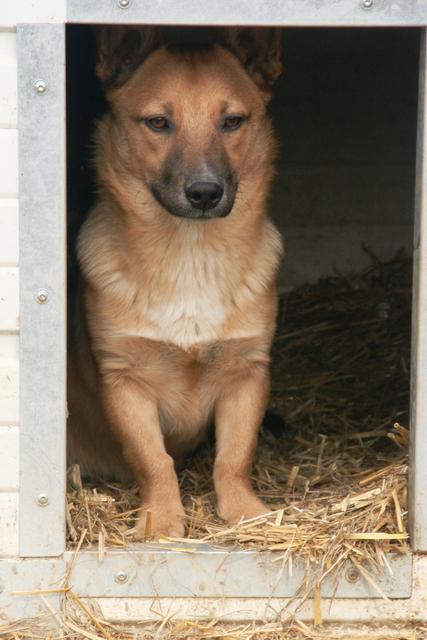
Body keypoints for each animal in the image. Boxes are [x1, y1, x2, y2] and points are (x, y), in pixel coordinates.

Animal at [67, 25, 284, 536]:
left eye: (233, 122)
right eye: (158, 123)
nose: (204, 193)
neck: (191, 255)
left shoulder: (247, 373)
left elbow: (234, 456)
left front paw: (245, 512)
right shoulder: (124, 382)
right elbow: (154, 460)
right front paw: (162, 520)